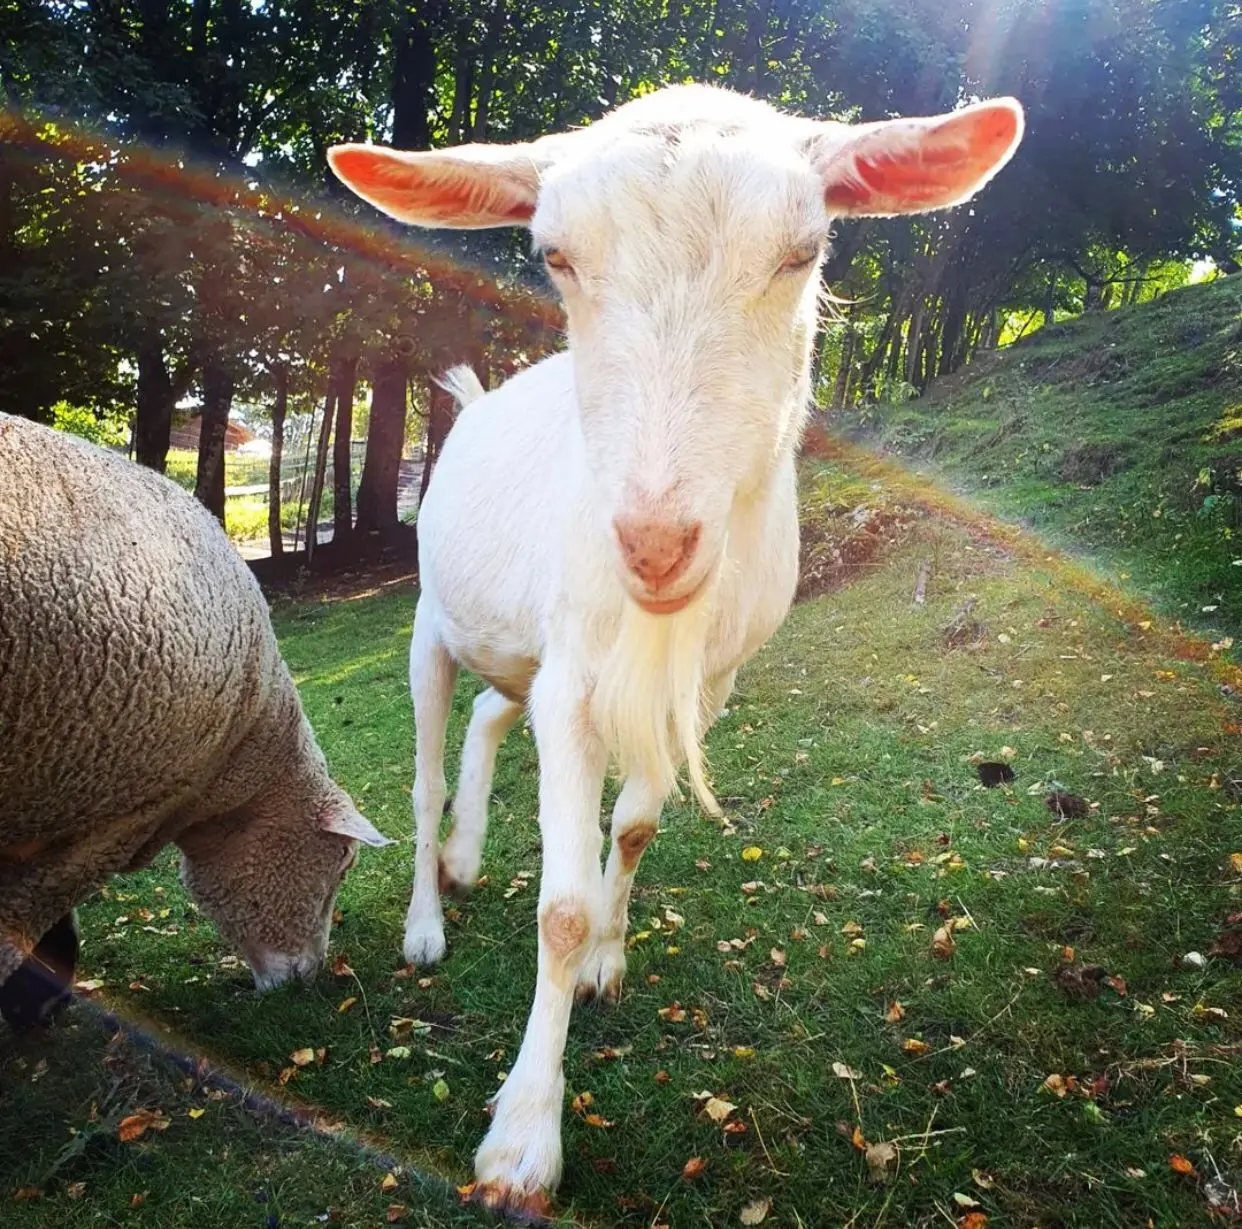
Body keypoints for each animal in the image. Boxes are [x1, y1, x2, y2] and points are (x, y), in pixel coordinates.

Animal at [329, 83, 1023, 1215]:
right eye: (554, 254)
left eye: (804, 250)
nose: (654, 542)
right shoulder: (575, 675)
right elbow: (559, 907)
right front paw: (521, 1145)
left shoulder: (704, 681)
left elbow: (640, 824)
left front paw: (609, 960)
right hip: (433, 622)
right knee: (429, 764)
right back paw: (429, 916)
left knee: (488, 714)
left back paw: (469, 855)